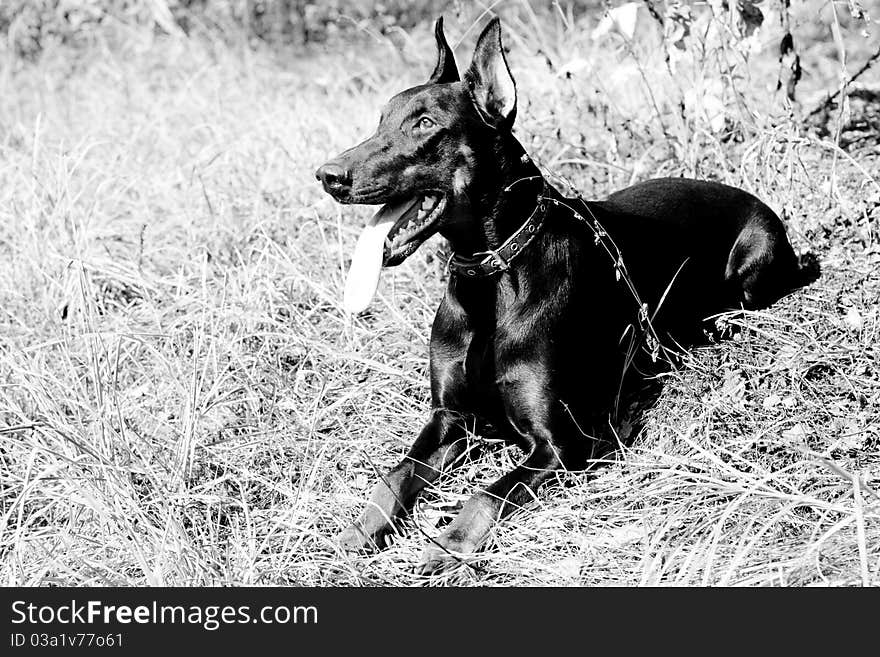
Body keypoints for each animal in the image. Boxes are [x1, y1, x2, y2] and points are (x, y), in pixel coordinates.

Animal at [314, 14, 820, 568]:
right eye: (381, 119)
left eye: (425, 124)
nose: (328, 175)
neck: (492, 280)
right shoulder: (450, 416)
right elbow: (395, 474)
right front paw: (357, 531)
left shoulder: (564, 443)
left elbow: (485, 494)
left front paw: (448, 544)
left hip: (755, 262)